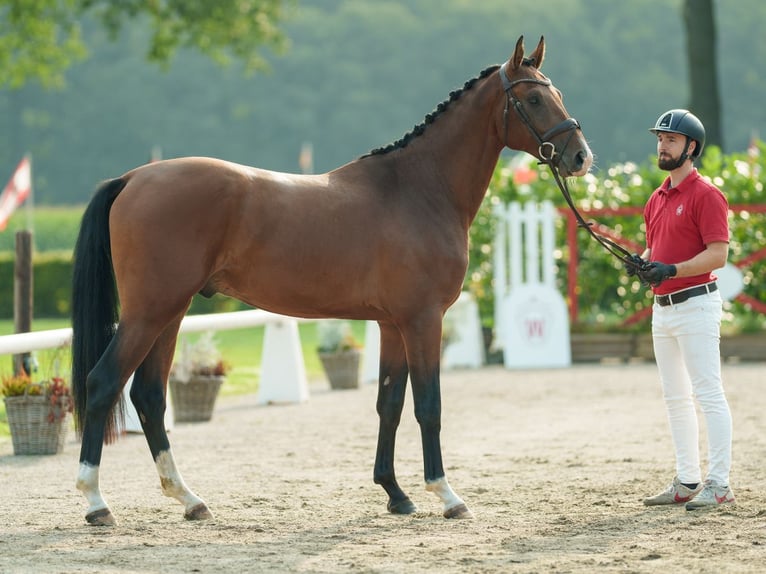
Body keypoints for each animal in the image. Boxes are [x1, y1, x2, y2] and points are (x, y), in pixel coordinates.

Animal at [70, 36, 592, 528]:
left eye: (559, 93)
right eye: (533, 98)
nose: (580, 157)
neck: (418, 189)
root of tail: (133, 178)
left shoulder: (392, 325)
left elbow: (389, 403)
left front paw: (396, 494)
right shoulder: (423, 320)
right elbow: (428, 405)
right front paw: (446, 495)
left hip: (170, 314)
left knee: (148, 397)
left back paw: (189, 499)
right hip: (149, 313)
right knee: (103, 383)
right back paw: (97, 502)